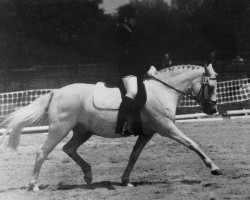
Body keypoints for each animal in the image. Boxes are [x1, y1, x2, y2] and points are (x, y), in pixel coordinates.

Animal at [0, 64, 223, 191]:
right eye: (211, 86)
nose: (213, 109)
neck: (163, 90)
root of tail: (56, 92)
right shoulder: (167, 129)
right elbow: (193, 144)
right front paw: (214, 168)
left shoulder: (147, 134)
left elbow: (134, 156)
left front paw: (126, 181)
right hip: (59, 129)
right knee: (42, 153)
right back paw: (34, 185)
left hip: (83, 131)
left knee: (69, 148)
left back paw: (88, 175)